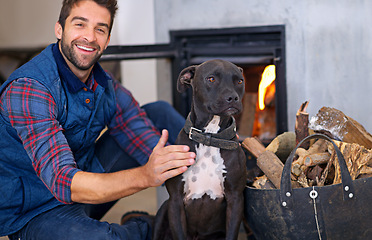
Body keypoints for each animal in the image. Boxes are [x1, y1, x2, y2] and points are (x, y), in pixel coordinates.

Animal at [153, 59, 248, 239]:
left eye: (239, 81)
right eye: (211, 79)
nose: (233, 97)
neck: (209, 138)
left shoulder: (236, 200)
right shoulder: (175, 201)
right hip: (162, 211)